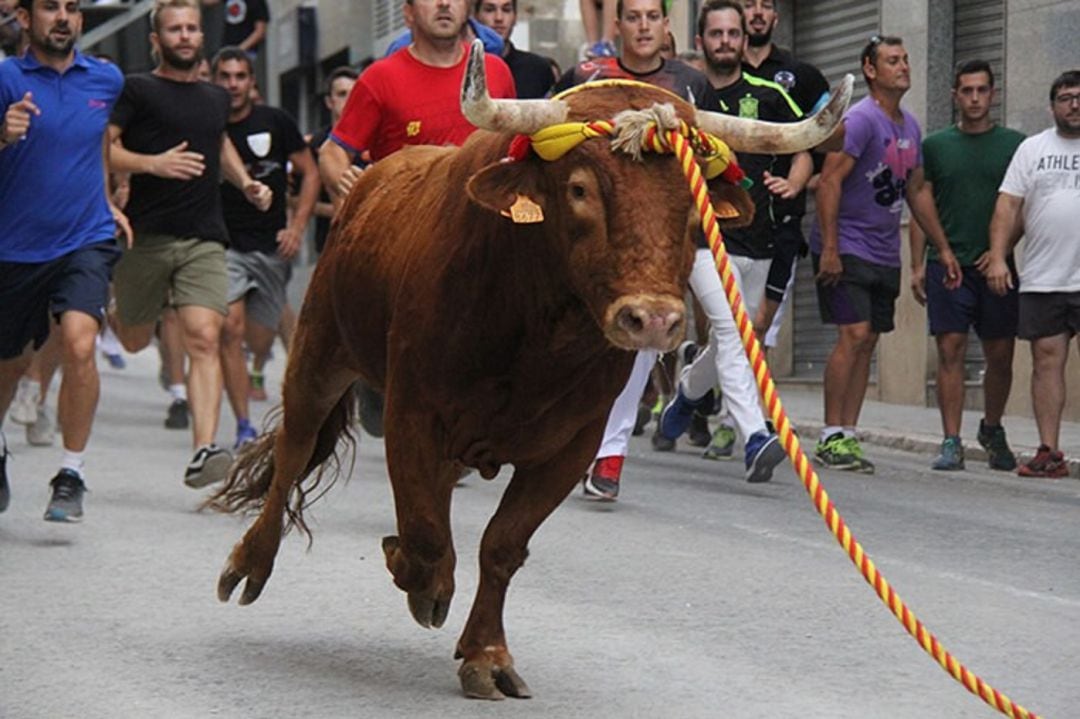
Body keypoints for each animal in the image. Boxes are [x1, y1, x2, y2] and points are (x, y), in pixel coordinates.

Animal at [210, 40, 851, 699]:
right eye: (579, 189)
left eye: (689, 203)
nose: (652, 319)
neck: (538, 334)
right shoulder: (411, 413)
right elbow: (423, 533)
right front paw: (420, 580)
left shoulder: (571, 445)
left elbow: (500, 543)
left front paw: (485, 655)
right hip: (319, 351)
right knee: (294, 450)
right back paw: (248, 564)